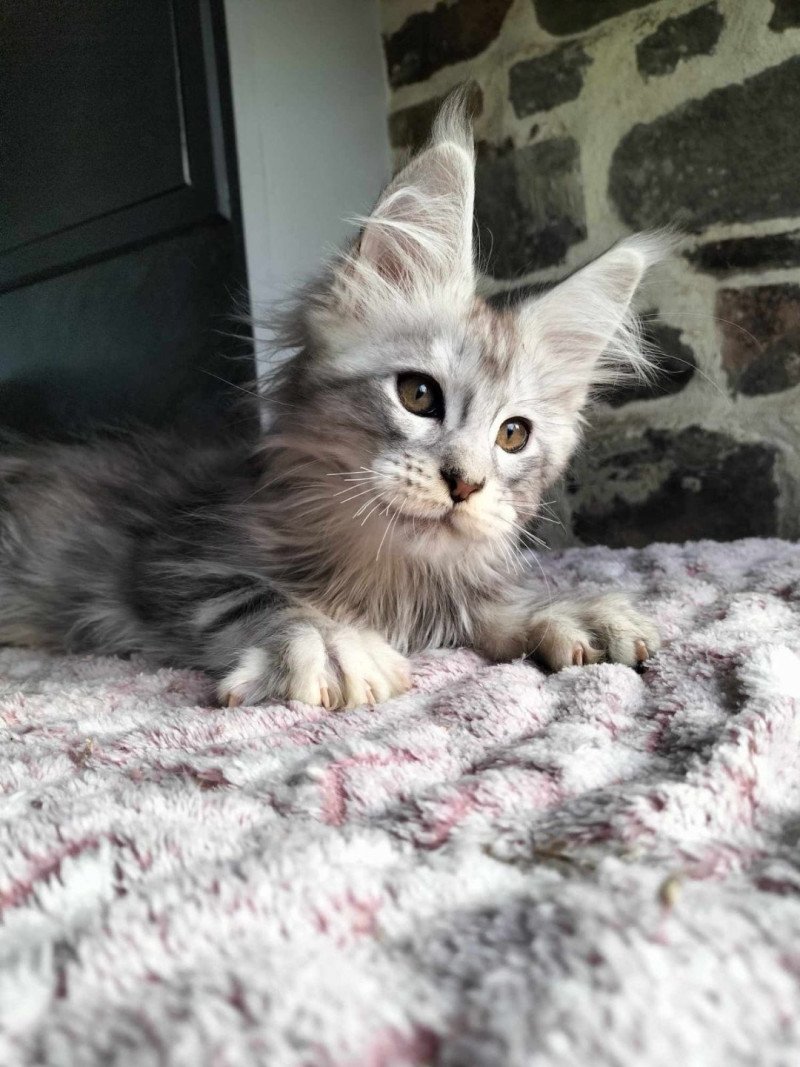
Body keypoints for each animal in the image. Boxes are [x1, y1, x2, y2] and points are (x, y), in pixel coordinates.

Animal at [0, 98, 665, 708]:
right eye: (419, 395)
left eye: (513, 435)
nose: (466, 483)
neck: (384, 570)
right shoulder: (171, 559)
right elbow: (258, 594)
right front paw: (325, 638)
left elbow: (477, 601)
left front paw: (563, 610)